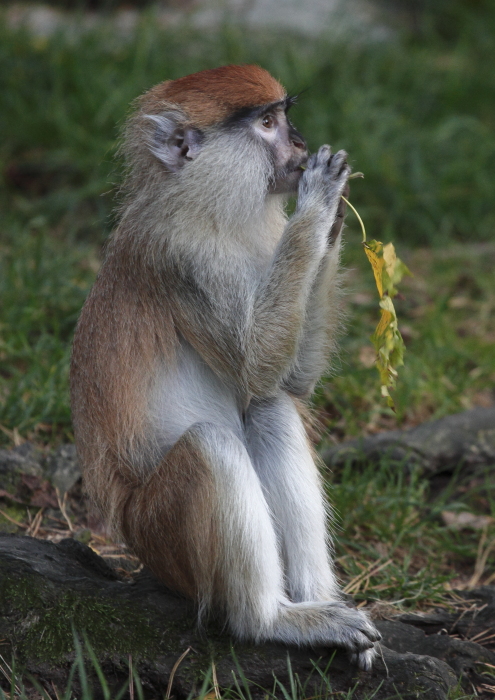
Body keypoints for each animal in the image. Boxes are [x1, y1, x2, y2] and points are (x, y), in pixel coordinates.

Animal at [70, 64, 380, 668]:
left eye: (283, 117)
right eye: (267, 124)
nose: (301, 145)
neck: (208, 207)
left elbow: (287, 383)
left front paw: (335, 215)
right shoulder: (183, 259)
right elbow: (257, 365)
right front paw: (320, 201)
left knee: (269, 410)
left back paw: (318, 600)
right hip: (164, 533)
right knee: (213, 446)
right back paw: (273, 619)